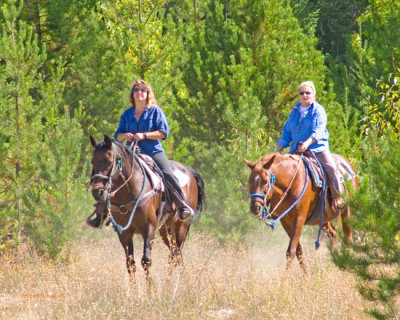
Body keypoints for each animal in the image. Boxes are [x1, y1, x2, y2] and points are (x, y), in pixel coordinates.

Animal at [89, 135, 205, 278]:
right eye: (93, 161)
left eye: (110, 162)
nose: (97, 192)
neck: (129, 191)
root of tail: (190, 171)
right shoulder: (124, 232)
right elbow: (130, 264)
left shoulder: (148, 227)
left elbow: (146, 261)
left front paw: (152, 285)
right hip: (166, 230)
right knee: (174, 256)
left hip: (181, 227)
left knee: (176, 257)